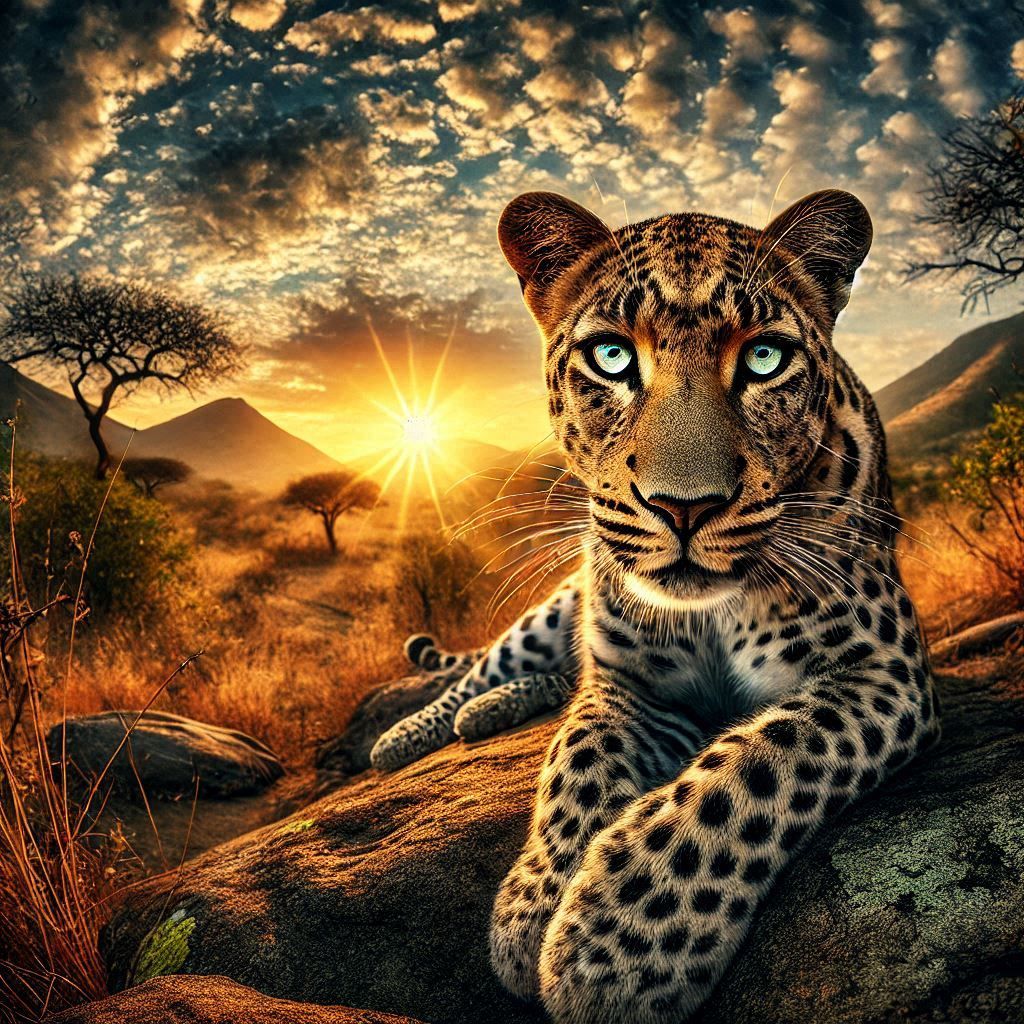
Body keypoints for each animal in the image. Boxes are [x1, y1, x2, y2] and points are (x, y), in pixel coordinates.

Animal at [370, 187, 939, 1024]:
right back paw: (409, 735)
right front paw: (534, 909)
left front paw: (616, 947)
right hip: (555, 607)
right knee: (485, 668)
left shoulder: (883, 670)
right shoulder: (628, 683)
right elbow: (575, 762)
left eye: (765, 358)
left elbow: (758, 765)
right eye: (611, 357)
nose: (685, 507)